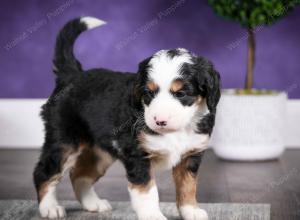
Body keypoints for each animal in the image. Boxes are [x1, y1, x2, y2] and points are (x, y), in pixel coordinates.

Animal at [33, 16, 220, 220]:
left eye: (181, 93)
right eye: (148, 93)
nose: (159, 121)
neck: (177, 132)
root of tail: (73, 74)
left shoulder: (191, 155)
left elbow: (188, 185)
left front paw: (191, 211)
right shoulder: (138, 155)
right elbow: (147, 191)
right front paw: (152, 215)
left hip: (101, 153)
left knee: (80, 175)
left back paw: (94, 204)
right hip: (65, 142)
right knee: (44, 172)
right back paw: (50, 208)